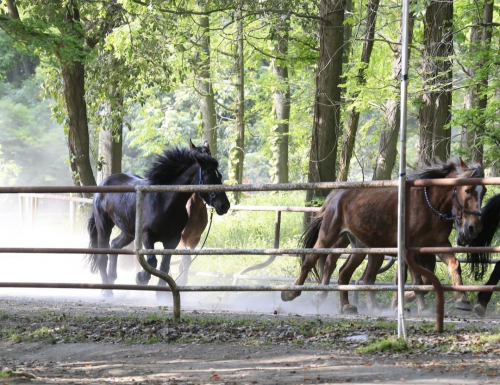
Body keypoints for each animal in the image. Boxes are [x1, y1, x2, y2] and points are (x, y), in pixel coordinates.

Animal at [87, 141, 230, 294]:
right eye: (210, 177)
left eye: (220, 175)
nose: (224, 205)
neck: (165, 203)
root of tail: (104, 182)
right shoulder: (147, 236)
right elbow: (152, 261)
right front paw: (141, 278)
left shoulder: (173, 241)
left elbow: (165, 266)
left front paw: (161, 294)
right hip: (104, 227)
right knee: (102, 256)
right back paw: (107, 291)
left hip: (128, 231)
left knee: (114, 245)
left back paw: (112, 279)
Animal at [284, 158, 486, 312]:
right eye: (467, 190)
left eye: (483, 191)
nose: (473, 228)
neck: (428, 205)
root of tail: (335, 195)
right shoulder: (410, 250)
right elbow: (416, 279)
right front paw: (413, 305)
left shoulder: (437, 245)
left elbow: (451, 266)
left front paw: (462, 300)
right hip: (329, 236)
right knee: (311, 260)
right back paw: (291, 293)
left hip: (363, 247)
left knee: (347, 273)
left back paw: (350, 306)